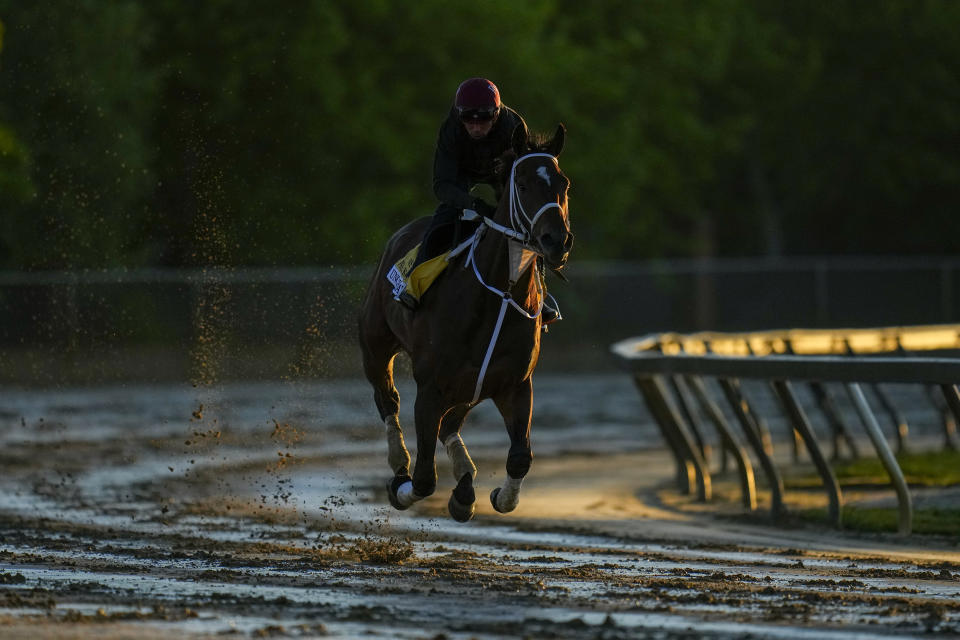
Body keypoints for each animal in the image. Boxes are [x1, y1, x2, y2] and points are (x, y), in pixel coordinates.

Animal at [358, 122, 568, 524]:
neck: (499, 294)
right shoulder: (430, 388)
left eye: (563, 184)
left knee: (450, 424)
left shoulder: (515, 384)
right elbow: (424, 477)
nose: (557, 241)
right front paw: (402, 488)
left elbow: (520, 458)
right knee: (388, 399)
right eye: (522, 185)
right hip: (374, 344)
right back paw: (401, 464)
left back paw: (466, 482)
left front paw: (496, 495)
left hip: (470, 387)